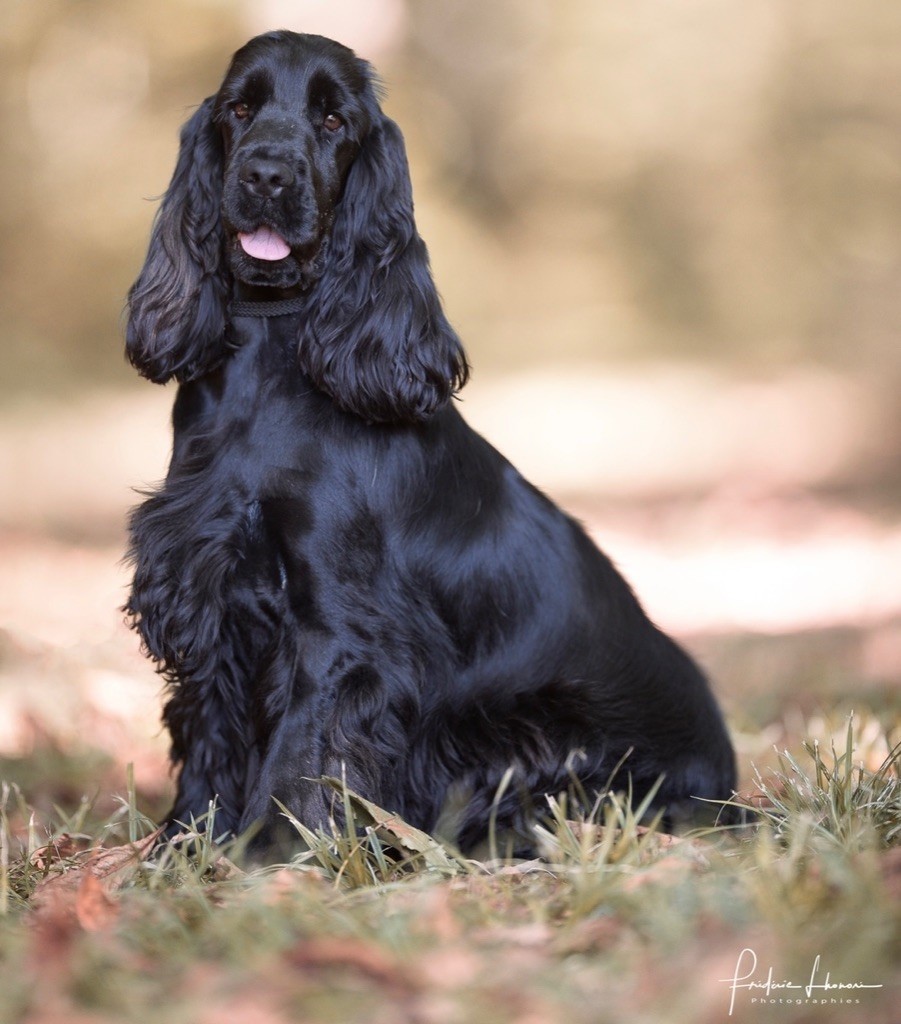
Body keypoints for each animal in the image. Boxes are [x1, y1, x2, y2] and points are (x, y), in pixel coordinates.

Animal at [124, 32, 733, 851]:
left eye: (333, 121)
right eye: (239, 110)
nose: (266, 175)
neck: (270, 356)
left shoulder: (340, 628)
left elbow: (300, 760)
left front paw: (271, 857)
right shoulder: (205, 585)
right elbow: (211, 735)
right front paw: (184, 847)